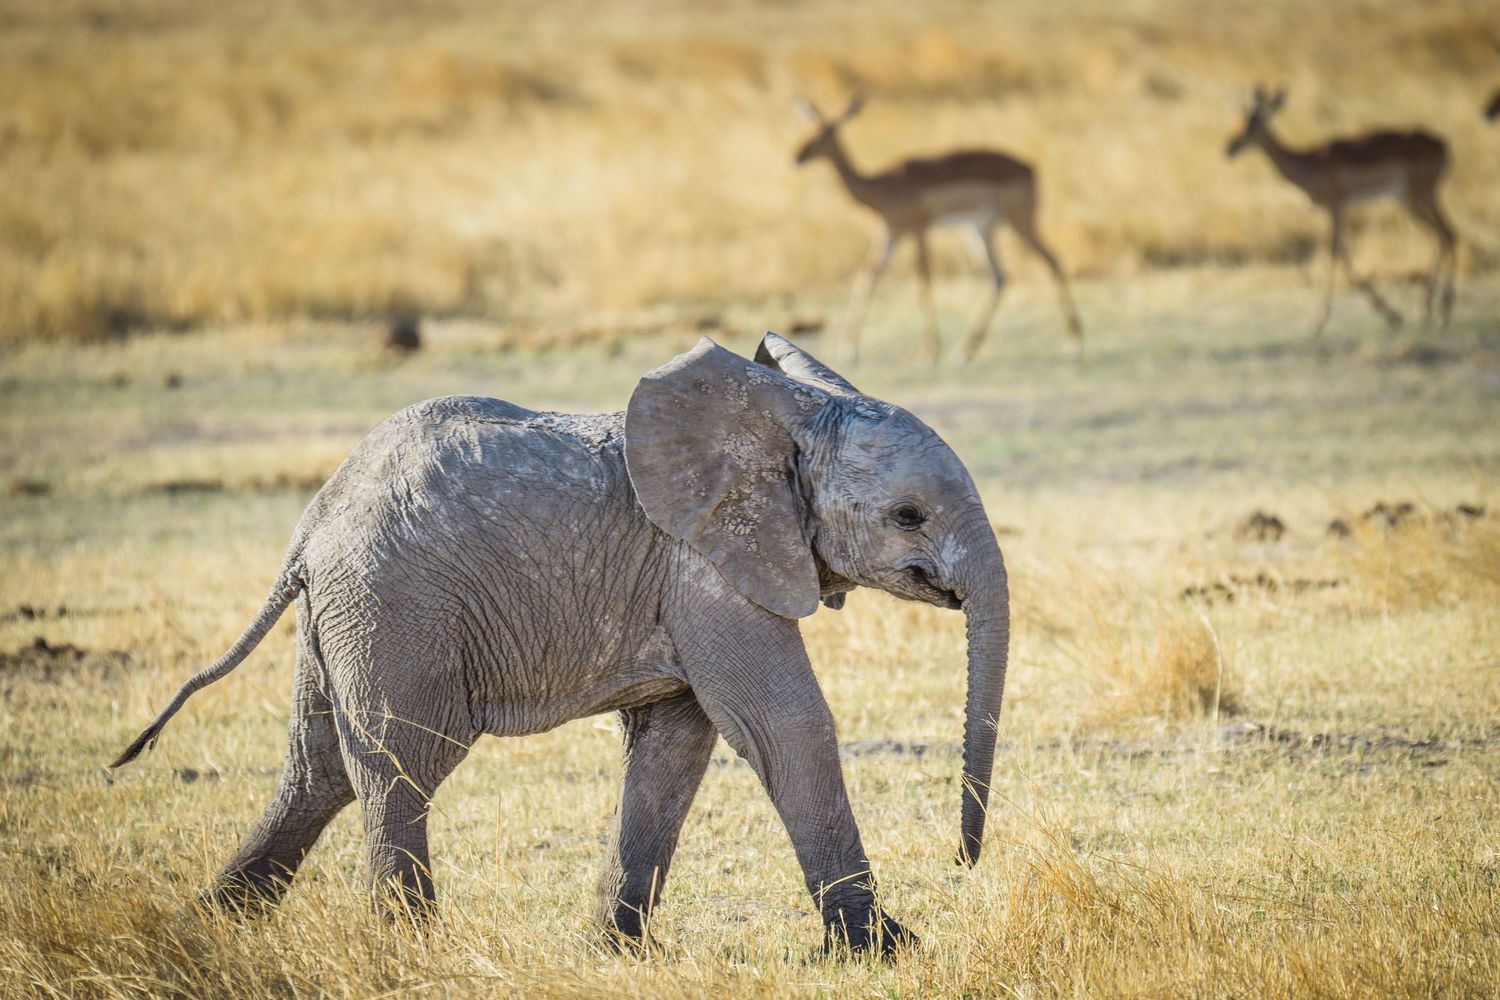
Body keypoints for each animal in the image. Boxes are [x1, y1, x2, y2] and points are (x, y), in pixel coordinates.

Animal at [111, 332, 1011, 957]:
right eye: (908, 516)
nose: (963, 864)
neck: (776, 422)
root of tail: (312, 524)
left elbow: (675, 746)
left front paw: (617, 952)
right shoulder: (705, 568)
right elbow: (783, 725)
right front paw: (885, 951)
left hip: (342, 616)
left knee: (318, 768)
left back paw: (209, 927)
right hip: (394, 607)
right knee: (400, 762)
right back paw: (413, 949)